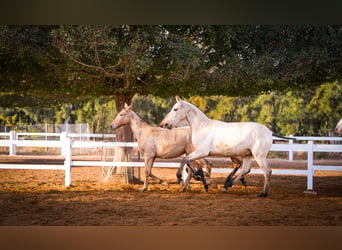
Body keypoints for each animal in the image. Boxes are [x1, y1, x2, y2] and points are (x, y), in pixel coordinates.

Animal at [160, 96, 292, 196]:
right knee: (245, 170)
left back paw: (263, 193)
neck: (202, 126)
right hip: (247, 155)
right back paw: (227, 185)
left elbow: (184, 160)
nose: (164, 124)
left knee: (267, 171)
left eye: (175, 109)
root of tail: (270, 132)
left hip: (259, 156)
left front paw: (180, 178)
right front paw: (199, 177)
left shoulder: (201, 152)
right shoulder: (198, 153)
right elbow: (189, 163)